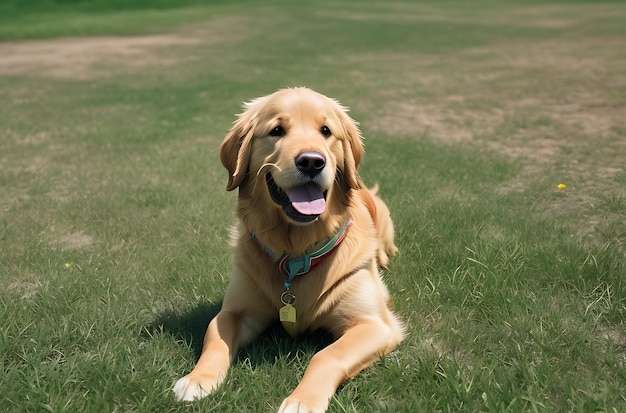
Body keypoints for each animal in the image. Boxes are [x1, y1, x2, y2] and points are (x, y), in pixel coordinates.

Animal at [172, 87, 404, 412]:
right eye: (277, 131)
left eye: (326, 131)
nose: (311, 161)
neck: (296, 254)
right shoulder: (237, 309)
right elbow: (215, 334)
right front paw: (198, 379)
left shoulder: (374, 324)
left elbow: (327, 354)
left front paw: (302, 401)